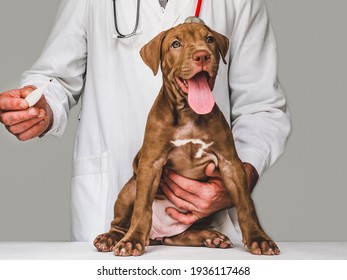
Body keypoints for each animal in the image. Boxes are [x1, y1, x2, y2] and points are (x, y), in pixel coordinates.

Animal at [93, 22, 280, 256]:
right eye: (175, 44)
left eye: (210, 39)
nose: (202, 55)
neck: (189, 113)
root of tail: (157, 235)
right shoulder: (150, 164)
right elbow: (142, 208)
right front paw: (132, 240)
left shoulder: (230, 163)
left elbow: (246, 204)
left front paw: (259, 238)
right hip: (130, 188)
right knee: (120, 221)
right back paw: (111, 238)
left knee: (178, 237)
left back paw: (211, 238)